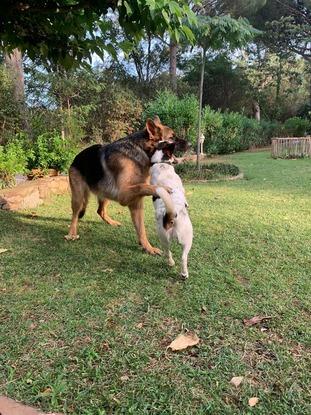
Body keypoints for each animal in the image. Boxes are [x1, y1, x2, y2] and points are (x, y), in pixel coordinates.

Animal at [65, 115, 178, 255]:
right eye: (172, 137)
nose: (189, 143)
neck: (141, 150)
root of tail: (76, 157)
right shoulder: (124, 195)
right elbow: (143, 186)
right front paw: (162, 189)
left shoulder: (136, 203)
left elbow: (141, 229)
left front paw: (148, 247)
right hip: (78, 198)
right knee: (75, 215)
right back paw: (72, 233)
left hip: (105, 193)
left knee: (100, 210)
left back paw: (111, 222)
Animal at [151, 146, 193, 280]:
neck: (162, 164)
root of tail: (169, 215)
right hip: (188, 238)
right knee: (182, 257)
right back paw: (180, 271)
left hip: (164, 238)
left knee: (170, 253)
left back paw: (176, 268)